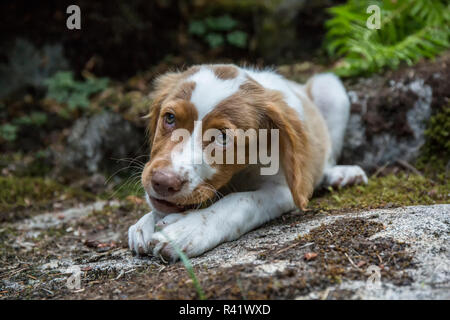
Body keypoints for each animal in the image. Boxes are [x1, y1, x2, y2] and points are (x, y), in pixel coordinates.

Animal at [128, 63, 368, 262]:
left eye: (223, 137)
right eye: (169, 118)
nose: (163, 182)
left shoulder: (283, 191)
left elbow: (240, 201)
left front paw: (188, 229)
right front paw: (145, 223)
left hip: (331, 88)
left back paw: (342, 175)